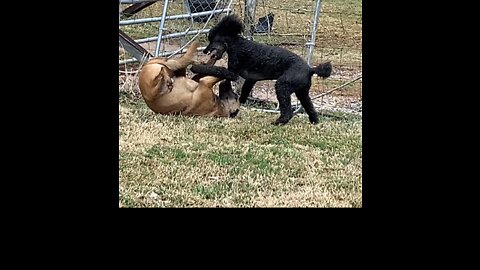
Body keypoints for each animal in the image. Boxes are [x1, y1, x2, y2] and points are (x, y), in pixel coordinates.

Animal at [193, 14, 332, 124]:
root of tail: (310, 69)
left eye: (212, 39)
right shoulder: (251, 80)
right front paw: (240, 101)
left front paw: (196, 67)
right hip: (302, 92)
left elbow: (217, 69)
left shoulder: (233, 69)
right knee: (309, 106)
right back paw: (314, 121)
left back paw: (279, 122)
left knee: (287, 110)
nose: (205, 51)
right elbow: (244, 91)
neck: (236, 43)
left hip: (283, 85)